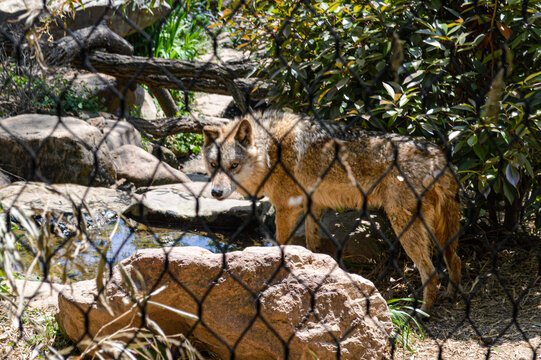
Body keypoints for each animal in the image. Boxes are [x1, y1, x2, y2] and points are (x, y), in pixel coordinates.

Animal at [202, 111, 460, 310]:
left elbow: (281, 246)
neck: (271, 151)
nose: (216, 193)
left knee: (431, 271)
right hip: (439, 230)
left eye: (234, 166)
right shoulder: (313, 206)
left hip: (403, 225)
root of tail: (438, 156)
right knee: (454, 260)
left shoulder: (285, 209)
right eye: (214, 165)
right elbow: (311, 246)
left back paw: (421, 313)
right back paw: (451, 296)